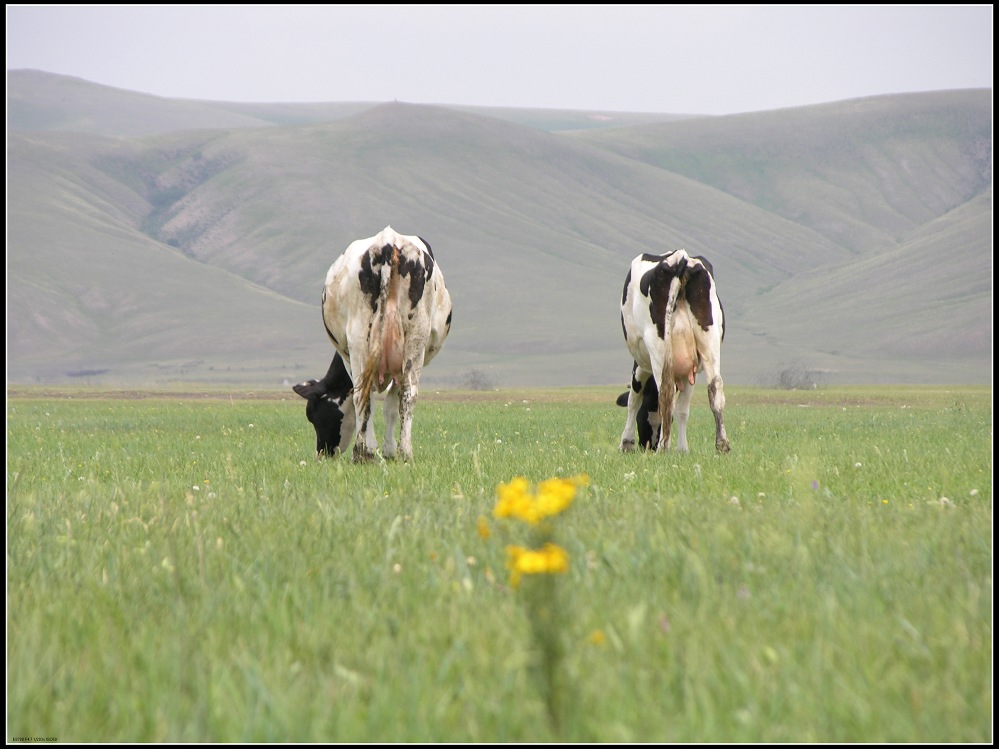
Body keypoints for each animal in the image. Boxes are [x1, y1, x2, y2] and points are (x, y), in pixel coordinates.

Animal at [292, 225, 454, 462]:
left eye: (313, 415)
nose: (321, 454)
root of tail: (387, 242)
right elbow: (391, 405)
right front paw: (389, 450)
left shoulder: (347, 357)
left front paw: (384, 450)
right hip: (414, 338)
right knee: (407, 394)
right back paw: (404, 452)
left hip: (359, 339)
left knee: (364, 393)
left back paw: (363, 452)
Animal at [612, 248, 732, 452]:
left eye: (641, 419)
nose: (649, 445)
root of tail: (680, 258)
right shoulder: (691, 370)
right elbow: (683, 410)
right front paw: (683, 449)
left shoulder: (640, 366)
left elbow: (633, 400)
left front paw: (626, 443)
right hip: (710, 341)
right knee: (715, 389)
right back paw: (722, 445)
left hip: (658, 347)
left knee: (666, 394)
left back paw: (663, 447)